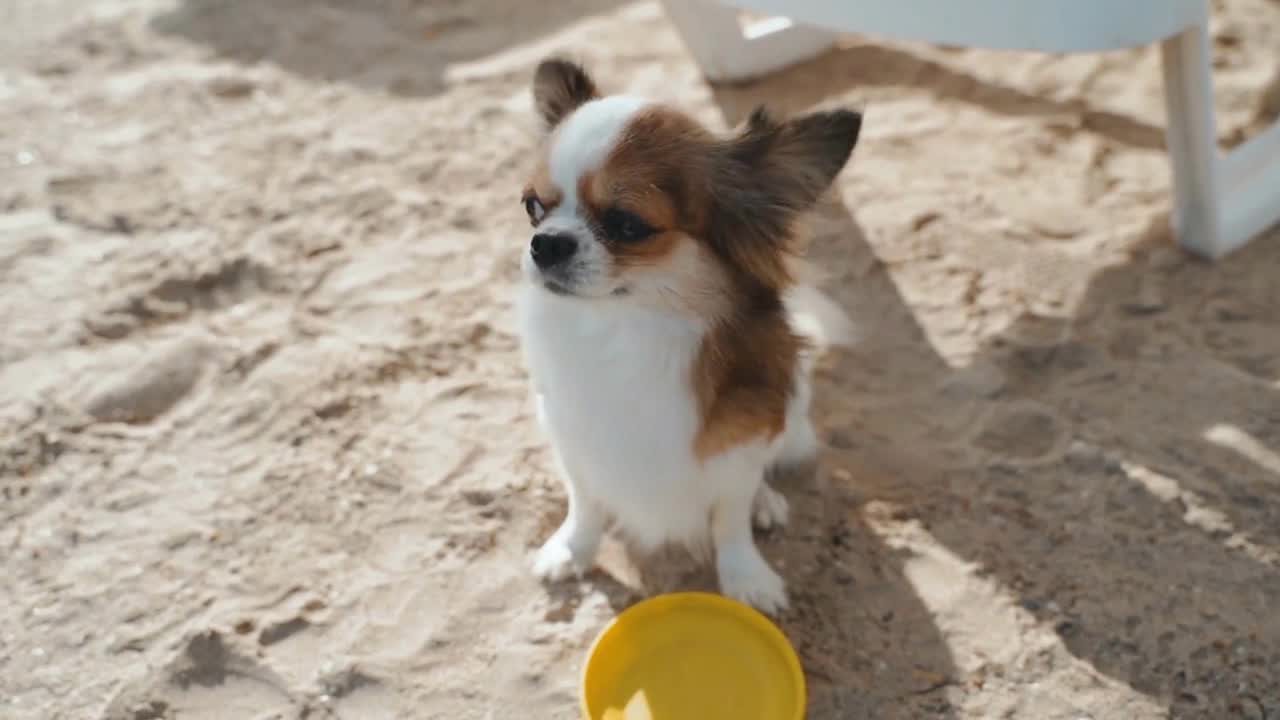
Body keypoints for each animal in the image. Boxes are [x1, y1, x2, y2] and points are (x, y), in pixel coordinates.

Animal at [512, 57, 860, 609]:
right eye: (532, 207)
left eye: (627, 224)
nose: (545, 243)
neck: (627, 333)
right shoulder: (572, 438)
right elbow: (585, 502)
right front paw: (572, 550)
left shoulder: (742, 441)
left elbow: (731, 518)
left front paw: (745, 577)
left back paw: (766, 501)